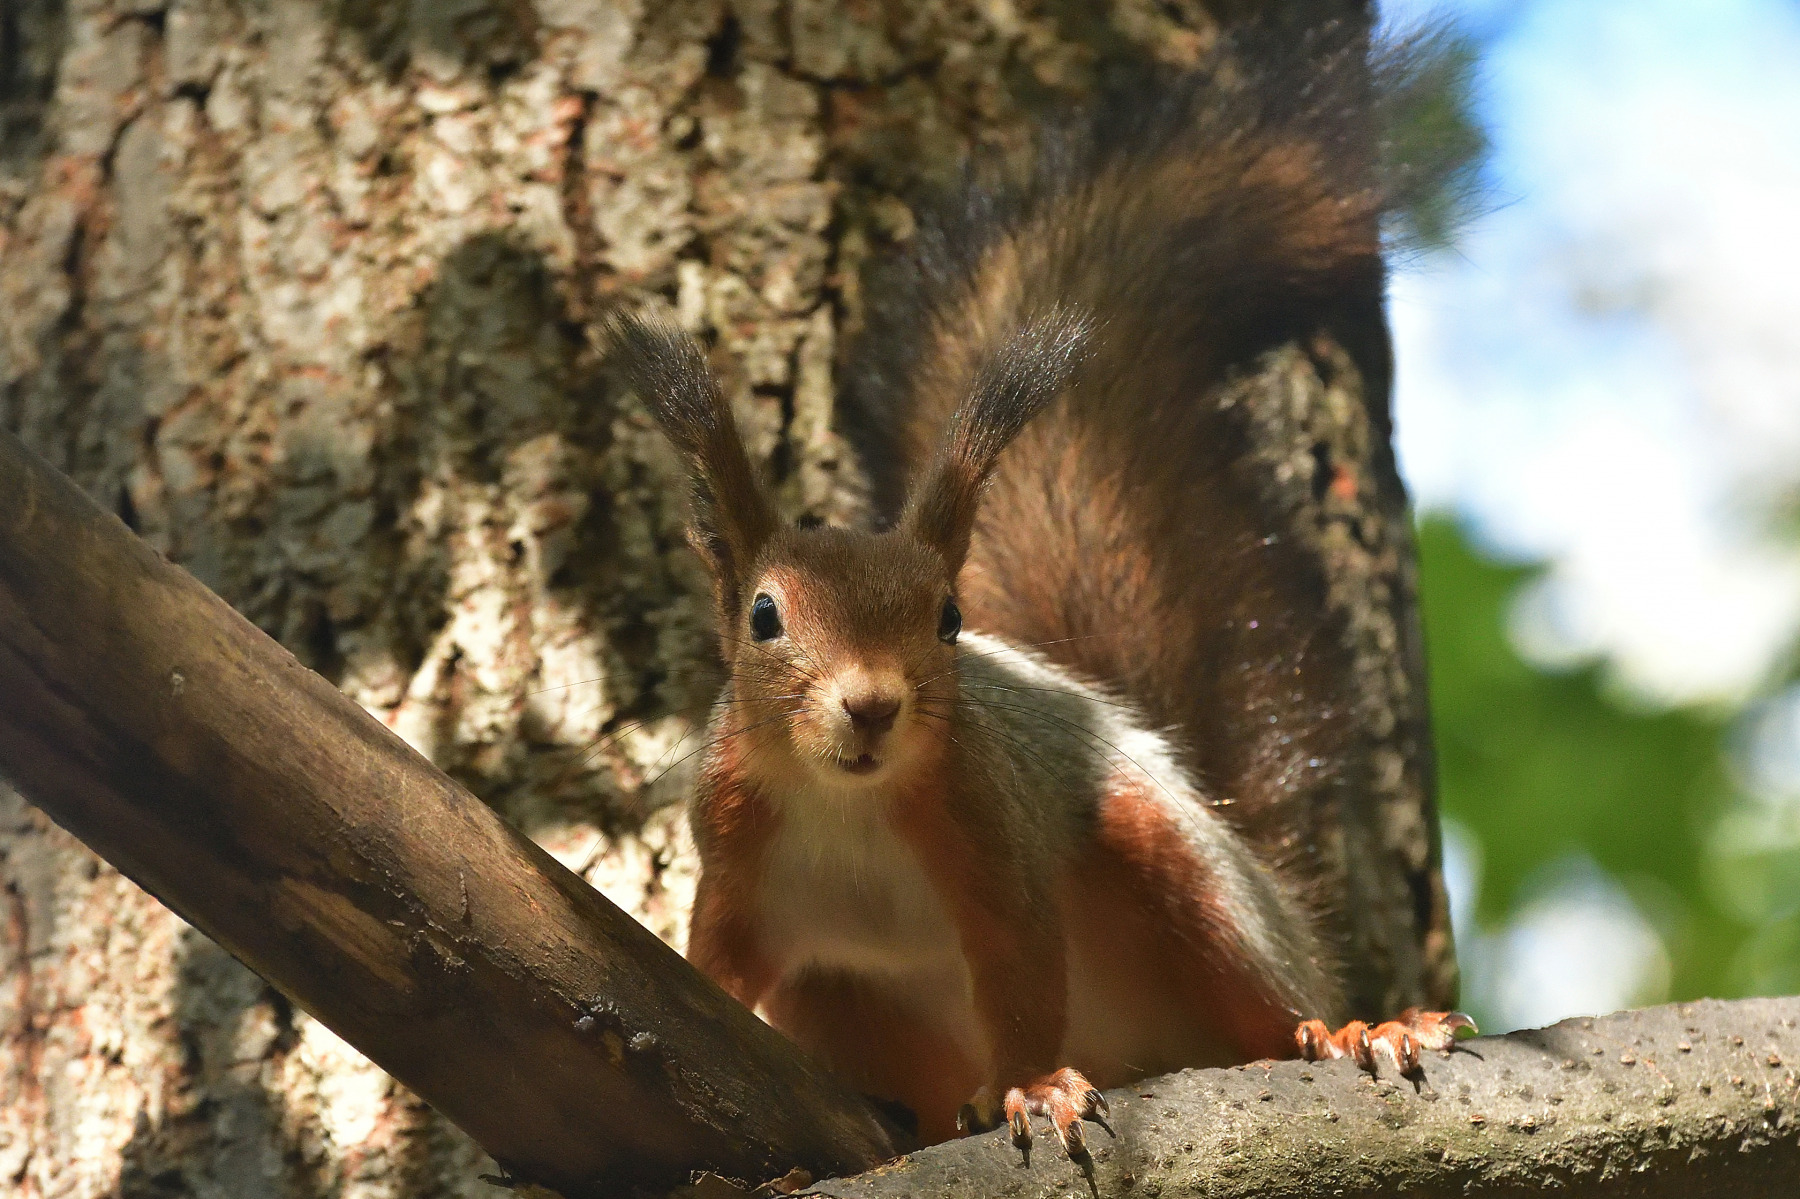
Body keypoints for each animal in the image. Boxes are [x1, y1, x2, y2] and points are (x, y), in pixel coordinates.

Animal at [601, 16, 1461, 1159]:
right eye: (764, 614)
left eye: (950, 618)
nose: (871, 704)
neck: (845, 798)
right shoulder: (733, 852)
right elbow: (716, 966)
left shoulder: (993, 834)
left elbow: (1021, 975)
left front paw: (1033, 1086)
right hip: (846, 1002)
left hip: (1181, 868)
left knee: (1265, 1002)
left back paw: (1352, 1028)